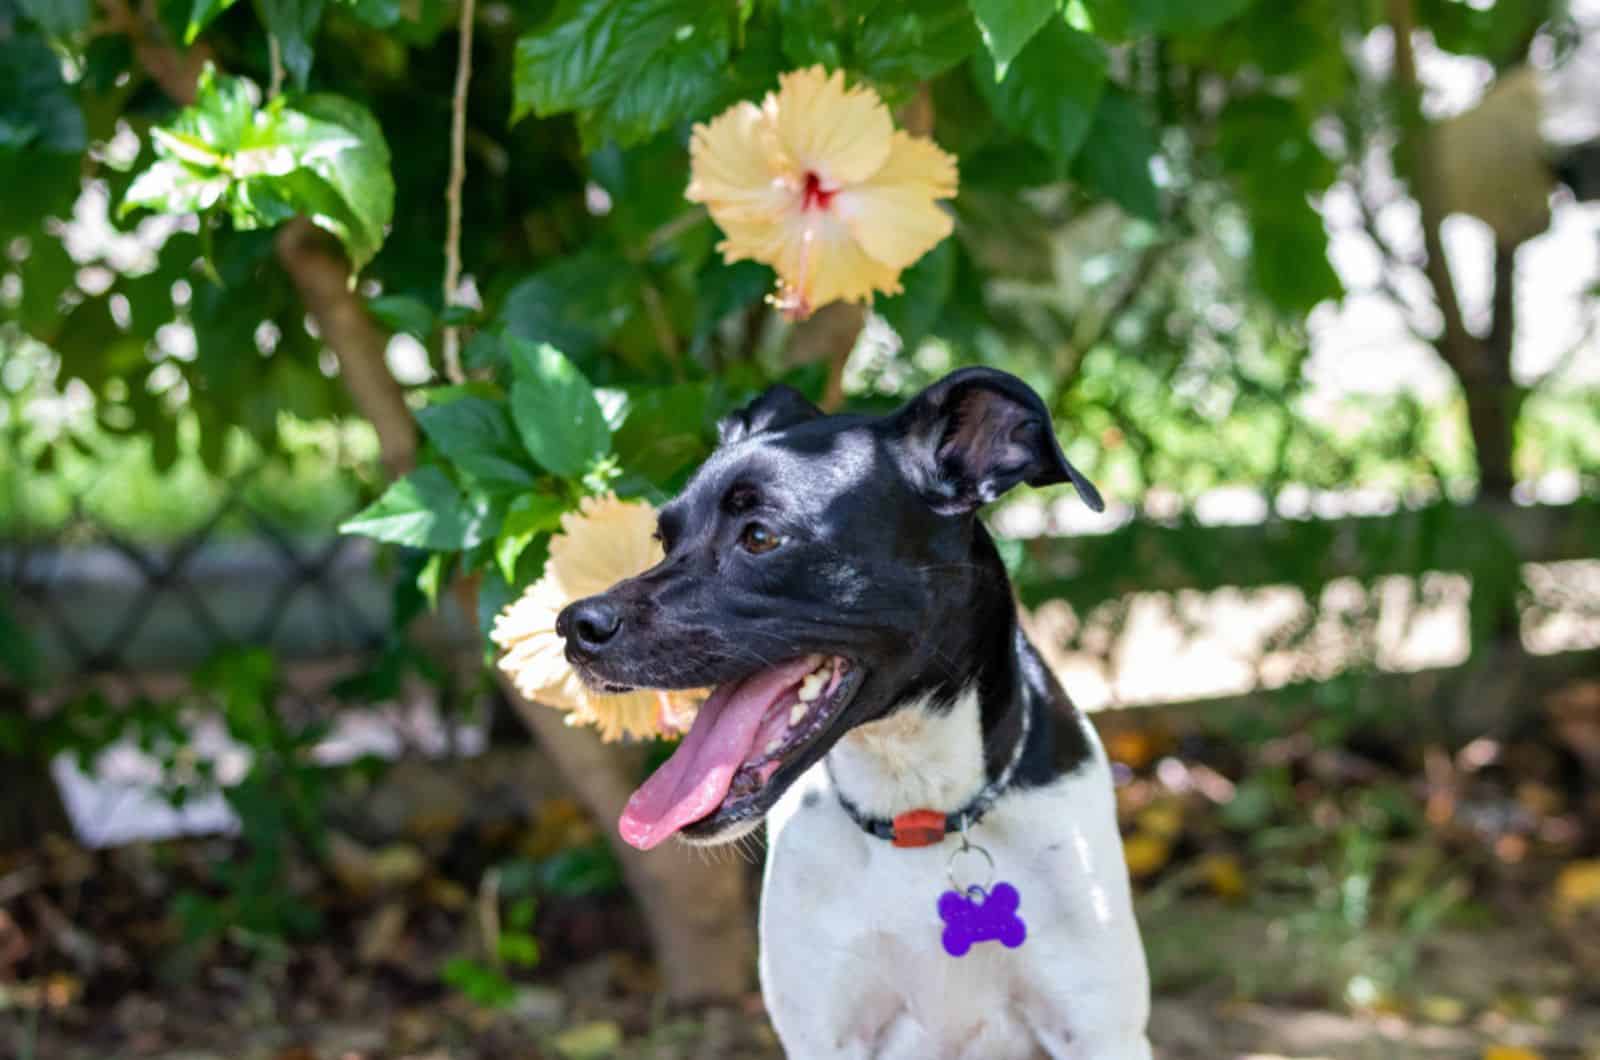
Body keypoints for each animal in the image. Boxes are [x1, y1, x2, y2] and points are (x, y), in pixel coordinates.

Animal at [556, 369, 1145, 1056]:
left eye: (760, 535)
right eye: (664, 537)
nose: (574, 626)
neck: (916, 805)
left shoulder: (1100, 1030)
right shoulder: (825, 1032)